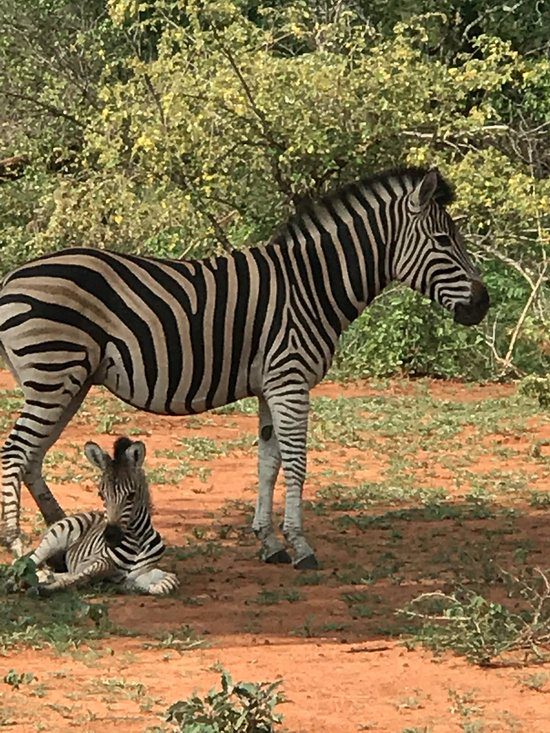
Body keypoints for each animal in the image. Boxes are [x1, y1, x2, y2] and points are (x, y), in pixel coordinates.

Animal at [0, 166, 492, 568]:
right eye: (444, 241)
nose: (483, 305)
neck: (311, 286)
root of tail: (13, 276)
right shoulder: (291, 379)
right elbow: (296, 462)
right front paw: (300, 546)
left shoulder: (272, 385)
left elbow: (268, 462)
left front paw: (270, 542)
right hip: (53, 374)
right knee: (15, 453)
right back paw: (19, 547)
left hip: (68, 380)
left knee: (33, 458)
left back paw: (62, 535)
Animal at [28, 434, 179, 596]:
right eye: (101, 495)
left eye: (131, 495)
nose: (111, 536)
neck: (137, 540)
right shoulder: (98, 562)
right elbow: (76, 579)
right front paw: (45, 588)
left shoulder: (142, 571)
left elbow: (167, 583)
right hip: (57, 536)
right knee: (29, 562)